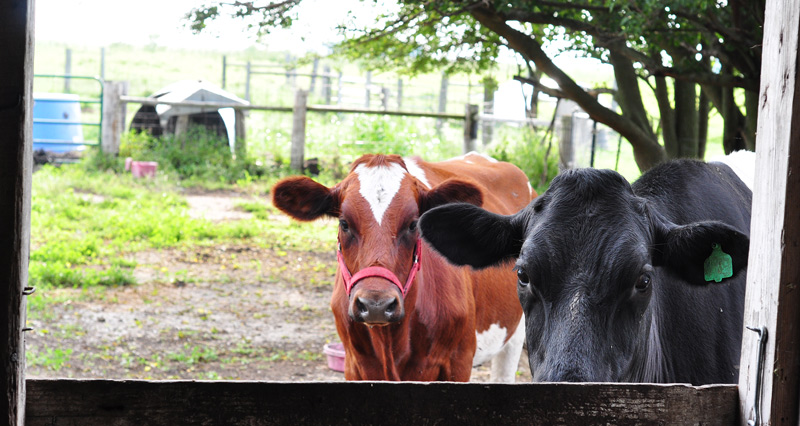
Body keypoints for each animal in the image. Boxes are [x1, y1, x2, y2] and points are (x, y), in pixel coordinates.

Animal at [271, 152, 534, 381]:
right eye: (344, 223)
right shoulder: (355, 365)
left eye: (412, 224)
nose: (376, 305)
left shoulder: (458, 361)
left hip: (515, 332)